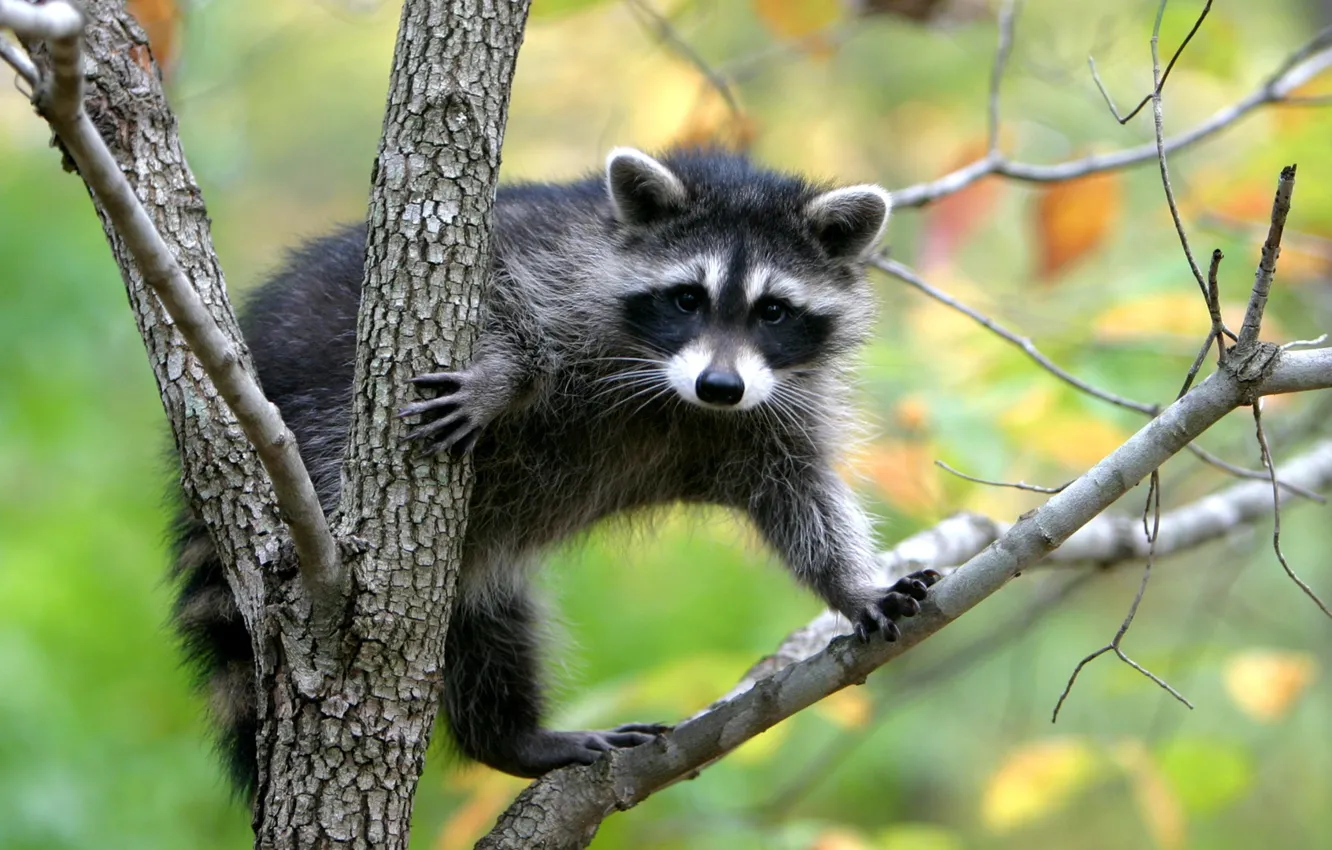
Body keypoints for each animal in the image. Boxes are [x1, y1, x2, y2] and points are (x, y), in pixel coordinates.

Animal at [170, 147, 940, 791]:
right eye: (687, 297)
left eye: (774, 311)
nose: (720, 386)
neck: (677, 396)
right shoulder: (552, 262)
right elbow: (503, 301)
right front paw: (500, 377)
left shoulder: (773, 412)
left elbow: (800, 498)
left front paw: (852, 585)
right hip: (320, 421)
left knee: (487, 627)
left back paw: (509, 737)